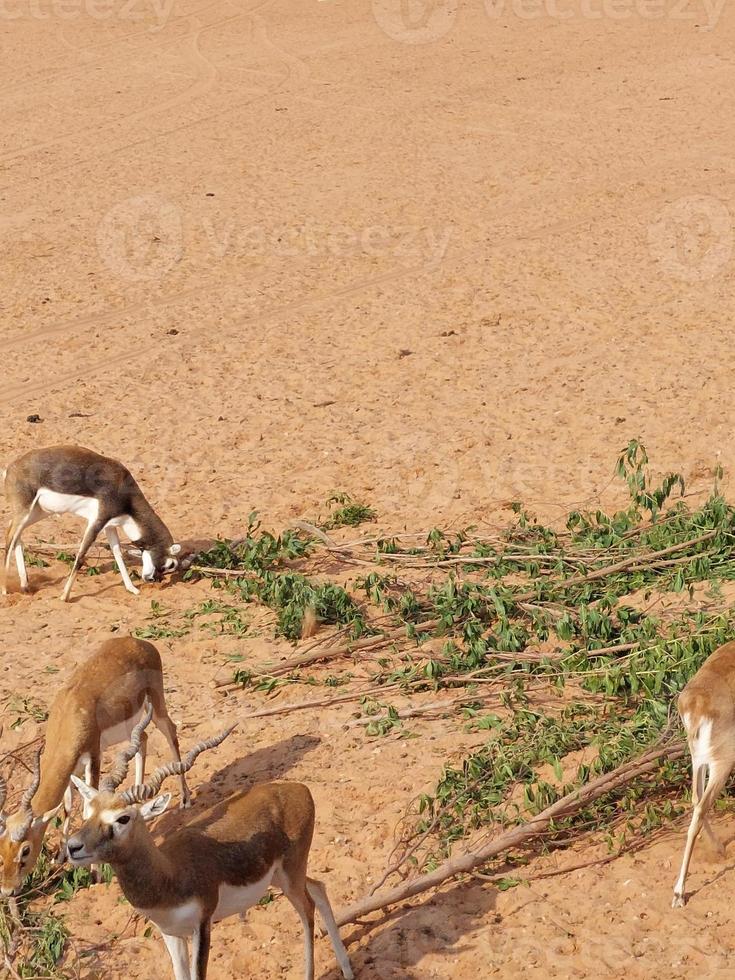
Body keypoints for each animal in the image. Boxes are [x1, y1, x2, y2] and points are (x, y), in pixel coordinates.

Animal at [0, 636, 191, 896]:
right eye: (1, 847)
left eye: (25, 849)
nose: (8, 890)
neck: (70, 715)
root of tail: (139, 642)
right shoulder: (71, 768)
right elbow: (68, 806)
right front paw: (60, 857)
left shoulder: (93, 756)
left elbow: (85, 810)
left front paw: (94, 874)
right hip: (130, 725)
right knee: (142, 740)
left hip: (157, 705)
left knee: (170, 732)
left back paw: (185, 799)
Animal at [3, 446, 182, 600]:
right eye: (170, 564)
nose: (153, 579)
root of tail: (11, 468)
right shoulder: (97, 521)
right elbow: (81, 557)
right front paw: (64, 596)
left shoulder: (110, 526)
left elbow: (118, 554)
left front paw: (132, 588)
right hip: (26, 511)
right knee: (9, 537)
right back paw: (5, 590)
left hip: (38, 512)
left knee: (15, 533)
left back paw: (25, 586)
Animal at [67, 712, 356, 980]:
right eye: (90, 810)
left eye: (123, 818)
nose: (73, 846)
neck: (169, 875)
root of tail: (299, 789)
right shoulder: (171, 934)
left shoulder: (202, 925)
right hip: (281, 877)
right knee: (319, 889)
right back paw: (347, 969)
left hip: (290, 874)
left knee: (307, 910)